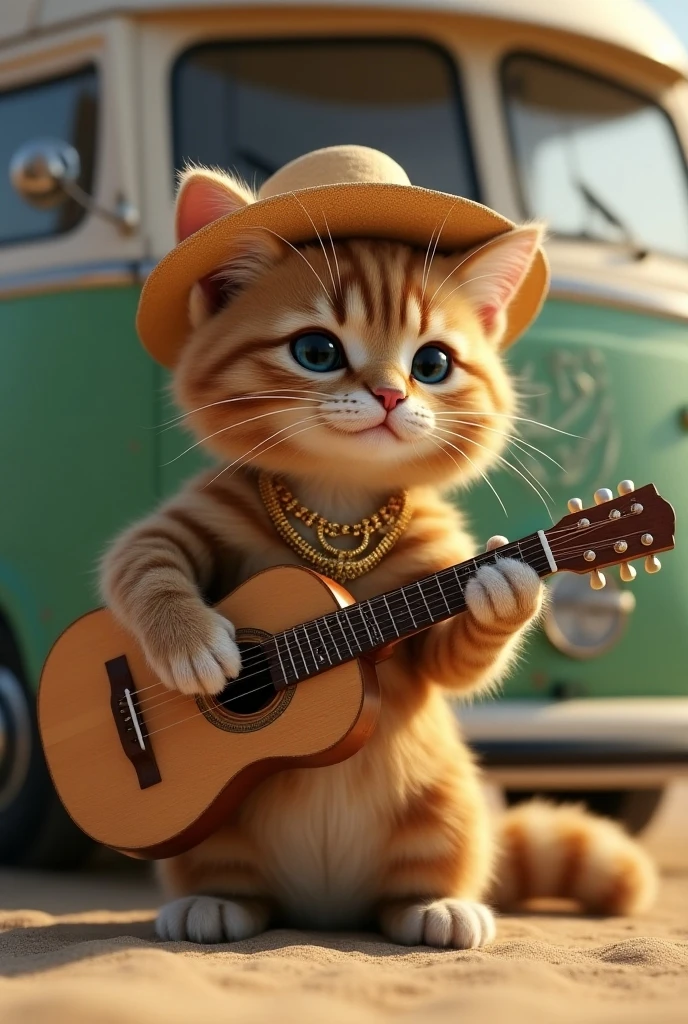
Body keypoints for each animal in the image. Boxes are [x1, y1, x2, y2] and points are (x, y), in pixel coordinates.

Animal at [98, 165, 655, 942]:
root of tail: (323, 910)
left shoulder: (436, 561)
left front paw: (508, 589)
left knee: (420, 879)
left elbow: (455, 659)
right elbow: (142, 561)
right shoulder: (191, 516)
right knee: (236, 883)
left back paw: (437, 907)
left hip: (445, 804)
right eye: (317, 352)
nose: (391, 394)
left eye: (434, 363)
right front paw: (191, 646)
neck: (337, 502)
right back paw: (215, 902)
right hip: (216, 836)